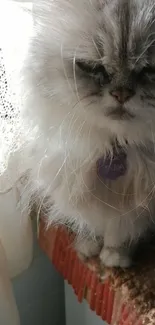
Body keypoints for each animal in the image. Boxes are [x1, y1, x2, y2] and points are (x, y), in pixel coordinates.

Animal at [22, 0, 155, 266]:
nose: (122, 94)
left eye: (150, 69)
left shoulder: (137, 209)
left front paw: (115, 258)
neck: (115, 146)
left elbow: (122, 231)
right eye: (92, 66)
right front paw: (88, 248)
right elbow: (91, 223)